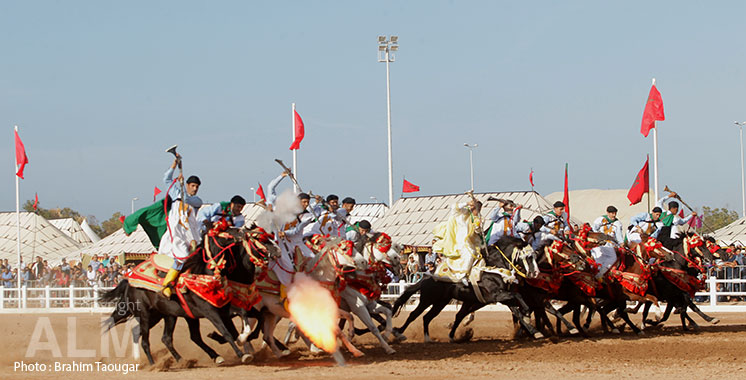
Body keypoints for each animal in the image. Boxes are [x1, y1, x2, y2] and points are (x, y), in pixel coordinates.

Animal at [390, 236, 540, 342]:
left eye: (535, 255)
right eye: (528, 256)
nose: (535, 273)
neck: (493, 267)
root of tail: (427, 277)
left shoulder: (499, 297)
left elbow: (518, 309)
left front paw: (532, 329)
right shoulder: (497, 295)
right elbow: (518, 298)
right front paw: (529, 320)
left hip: (440, 303)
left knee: (427, 317)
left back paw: (430, 338)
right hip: (427, 300)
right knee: (413, 315)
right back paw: (398, 333)